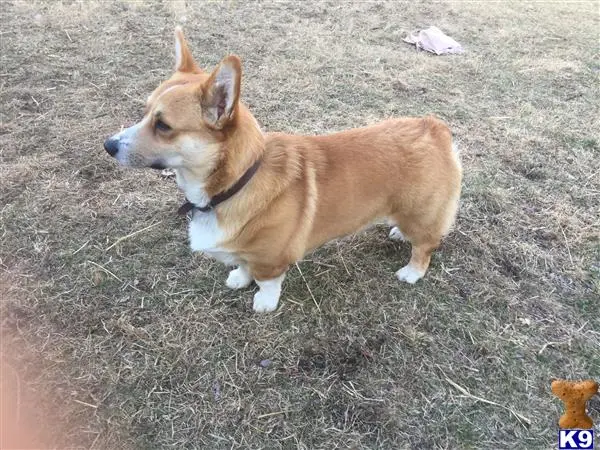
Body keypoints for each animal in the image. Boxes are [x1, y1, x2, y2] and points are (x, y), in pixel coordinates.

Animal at [103, 29, 462, 312]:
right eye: (144, 112)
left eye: (163, 126)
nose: (108, 145)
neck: (236, 182)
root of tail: (435, 128)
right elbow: (243, 265)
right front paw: (239, 278)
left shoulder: (270, 258)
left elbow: (266, 281)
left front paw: (263, 303)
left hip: (422, 213)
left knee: (426, 245)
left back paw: (411, 272)